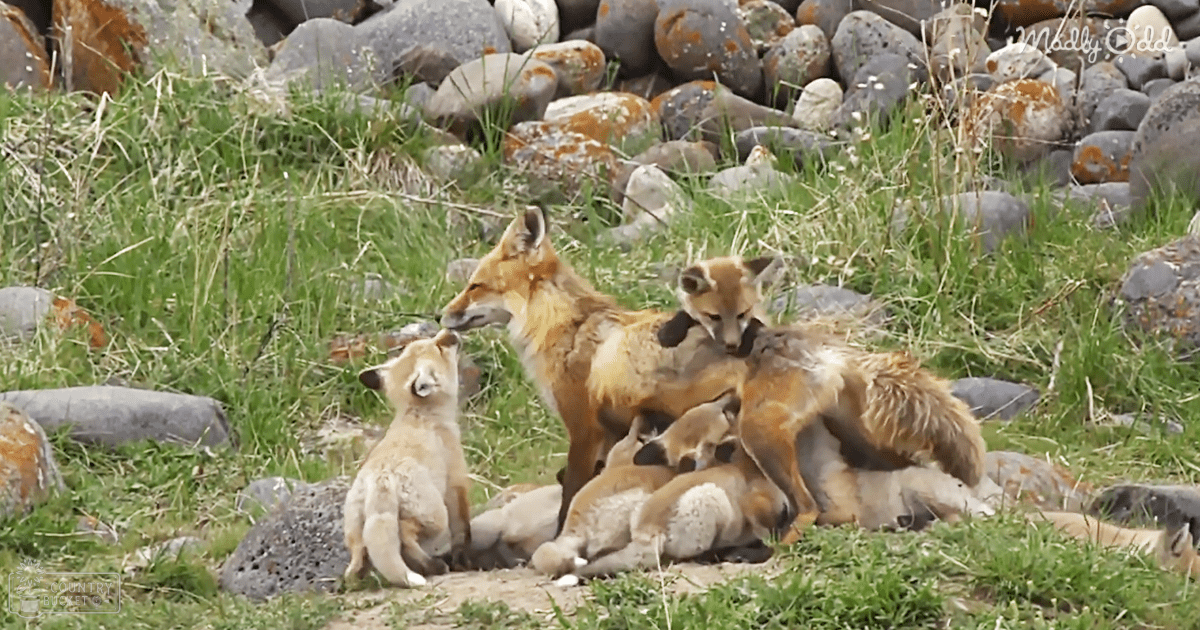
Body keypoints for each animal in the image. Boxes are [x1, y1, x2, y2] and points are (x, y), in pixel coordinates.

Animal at [342, 329, 472, 588]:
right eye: (438, 348)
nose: (449, 331)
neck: (416, 415)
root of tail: (381, 479)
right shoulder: (456, 482)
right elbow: (463, 527)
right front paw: (465, 559)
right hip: (434, 516)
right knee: (405, 534)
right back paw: (431, 566)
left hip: (354, 530)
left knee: (358, 558)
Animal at [441, 205, 751, 530]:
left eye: (475, 286)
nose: (439, 315)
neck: (565, 328)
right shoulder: (612, 433)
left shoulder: (583, 429)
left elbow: (571, 495)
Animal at [573, 393, 789, 579]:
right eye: (726, 414)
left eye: (716, 406)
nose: (734, 395)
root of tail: (648, 530)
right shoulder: (759, 505)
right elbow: (768, 534)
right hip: (711, 498)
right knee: (691, 556)